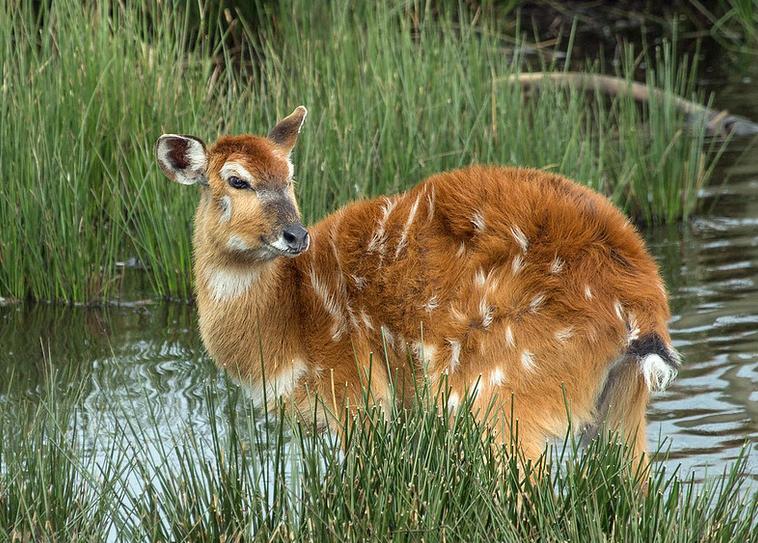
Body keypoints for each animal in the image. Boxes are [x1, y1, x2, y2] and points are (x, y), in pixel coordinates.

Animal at [155, 106, 680, 464]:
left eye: (289, 175)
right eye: (236, 180)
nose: (295, 235)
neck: (287, 327)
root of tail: (645, 302)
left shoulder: (359, 395)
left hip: (499, 391)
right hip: (622, 404)